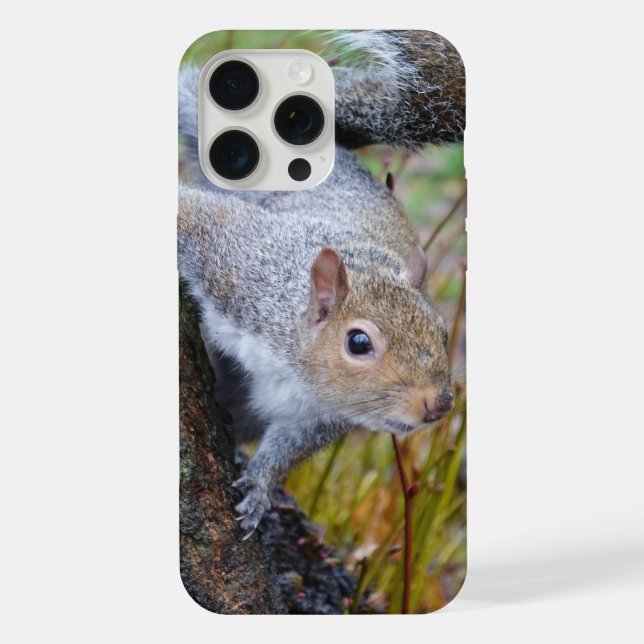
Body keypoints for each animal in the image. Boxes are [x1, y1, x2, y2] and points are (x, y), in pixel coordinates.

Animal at [178, 30, 465, 538]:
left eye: (442, 330)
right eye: (358, 342)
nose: (439, 405)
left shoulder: (319, 419)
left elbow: (288, 448)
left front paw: (260, 486)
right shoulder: (241, 264)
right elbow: (190, 212)